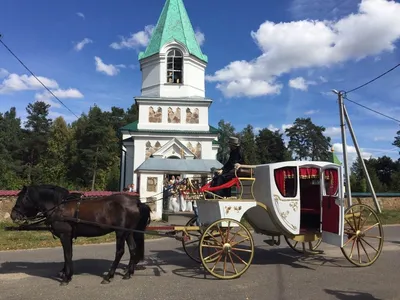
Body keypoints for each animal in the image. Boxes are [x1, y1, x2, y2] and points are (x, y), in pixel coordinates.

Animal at [10, 185, 152, 286]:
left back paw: (108, 276)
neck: (59, 207)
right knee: (133, 249)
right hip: (128, 232)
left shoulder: (65, 235)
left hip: (120, 232)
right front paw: (66, 273)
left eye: (22, 198)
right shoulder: (68, 236)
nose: (13, 215)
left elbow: (67, 254)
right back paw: (128, 273)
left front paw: (66, 278)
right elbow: (68, 254)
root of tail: (137, 203)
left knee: (120, 252)